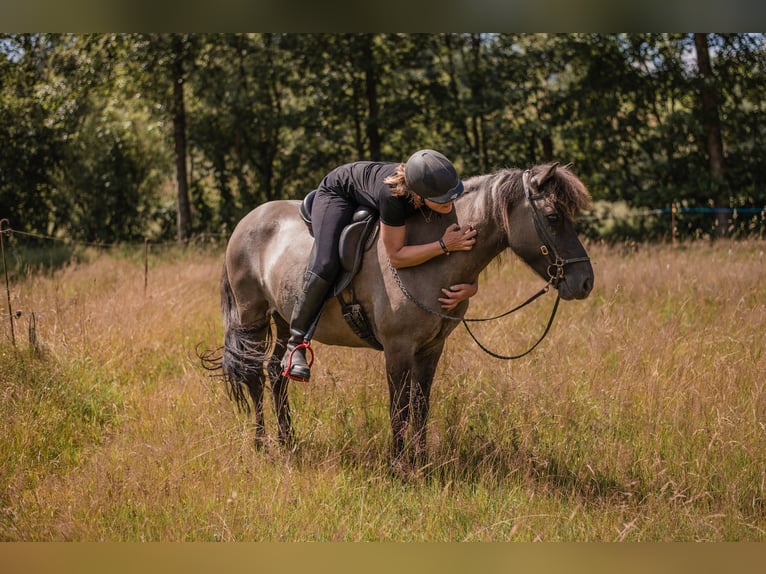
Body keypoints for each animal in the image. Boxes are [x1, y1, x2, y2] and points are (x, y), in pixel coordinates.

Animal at [217, 162, 594, 475]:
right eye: (553, 216)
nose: (585, 282)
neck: (431, 261)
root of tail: (248, 221)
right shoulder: (398, 349)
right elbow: (398, 407)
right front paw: (399, 468)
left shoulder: (430, 349)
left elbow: (420, 405)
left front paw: (421, 461)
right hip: (252, 316)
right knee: (253, 374)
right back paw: (262, 445)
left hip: (282, 318)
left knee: (276, 372)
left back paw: (288, 442)